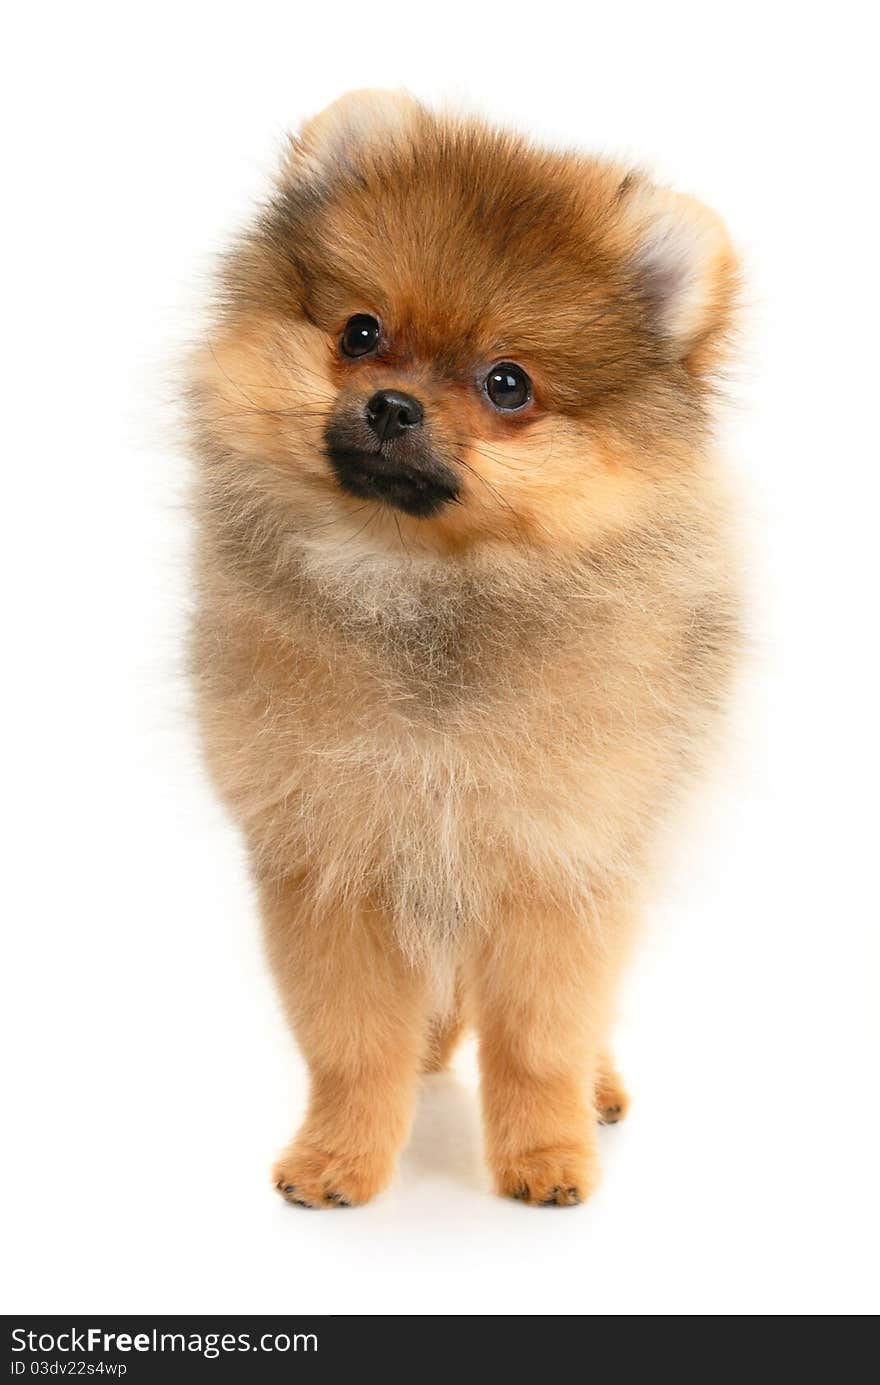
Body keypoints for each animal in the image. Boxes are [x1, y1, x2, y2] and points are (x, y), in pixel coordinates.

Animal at [185, 92, 742, 1207]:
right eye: (360, 332)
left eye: (507, 383)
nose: (393, 405)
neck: (423, 588)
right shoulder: (336, 861)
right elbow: (354, 1041)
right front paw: (339, 1157)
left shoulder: (555, 861)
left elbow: (540, 1035)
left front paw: (546, 1154)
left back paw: (595, 1094)